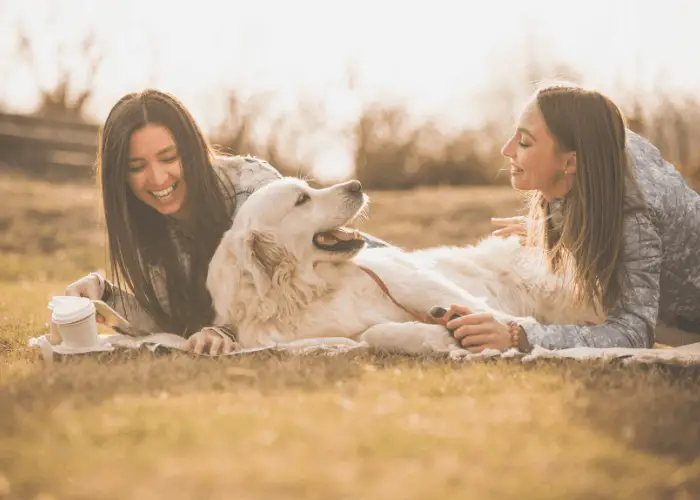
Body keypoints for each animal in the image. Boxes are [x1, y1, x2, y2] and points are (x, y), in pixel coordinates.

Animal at [205, 178, 600, 354]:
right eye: (302, 199)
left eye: (308, 189)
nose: (356, 184)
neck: (312, 289)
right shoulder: (338, 337)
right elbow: (375, 334)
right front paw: (441, 337)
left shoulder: (412, 280)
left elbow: (477, 309)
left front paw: (500, 332)